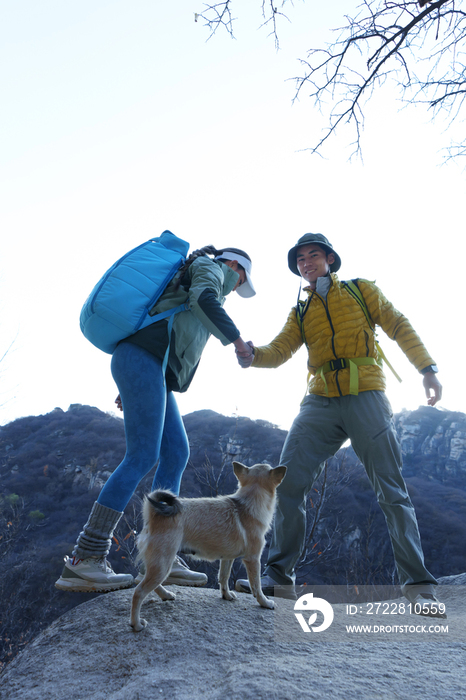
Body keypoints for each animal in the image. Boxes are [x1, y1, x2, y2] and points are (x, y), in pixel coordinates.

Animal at [129, 462, 286, 632]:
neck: (246, 505)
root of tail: (153, 514)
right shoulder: (253, 560)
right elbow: (256, 586)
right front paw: (265, 602)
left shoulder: (227, 558)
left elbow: (223, 577)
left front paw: (226, 595)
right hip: (163, 563)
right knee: (139, 591)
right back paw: (136, 623)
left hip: (160, 564)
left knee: (150, 584)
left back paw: (166, 595)